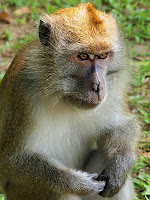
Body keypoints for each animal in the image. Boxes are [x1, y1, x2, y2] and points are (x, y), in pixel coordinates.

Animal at [0, 2, 139, 200]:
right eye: (83, 56)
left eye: (103, 56)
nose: (98, 87)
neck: (63, 96)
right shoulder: (22, 90)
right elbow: (11, 160)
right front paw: (78, 183)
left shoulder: (114, 89)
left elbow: (122, 125)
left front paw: (120, 164)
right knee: (58, 192)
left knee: (104, 156)